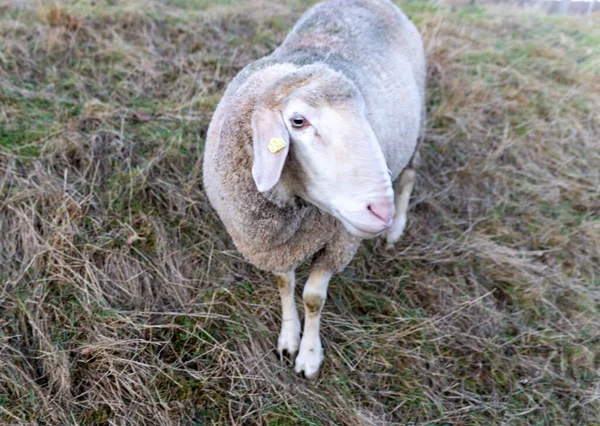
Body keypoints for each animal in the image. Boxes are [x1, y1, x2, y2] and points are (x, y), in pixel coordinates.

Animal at [204, 0, 424, 380]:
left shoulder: (338, 242)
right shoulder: (276, 247)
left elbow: (313, 298)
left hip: (418, 124)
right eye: (298, 121)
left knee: (409, 176)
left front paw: (308, 357)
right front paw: (289, 339)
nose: (381, 211)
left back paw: (395, 231)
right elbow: (285, 284)